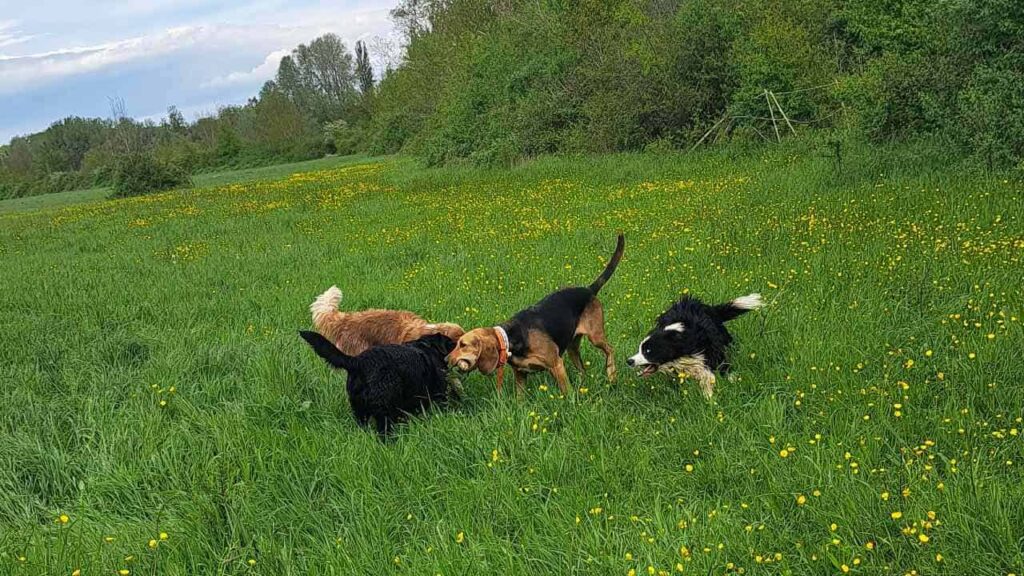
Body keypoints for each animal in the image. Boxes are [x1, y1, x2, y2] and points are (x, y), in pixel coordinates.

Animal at [448, 231, 622, 389]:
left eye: (463, 345)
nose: (445, 360)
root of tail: (588, 290)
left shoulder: (556, 365)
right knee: (583, 369)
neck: (511, 338)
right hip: (572, 347)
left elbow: (567, 392)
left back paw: (612, 375)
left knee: (610, 349)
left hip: (595, 337)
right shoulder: (520, 374)